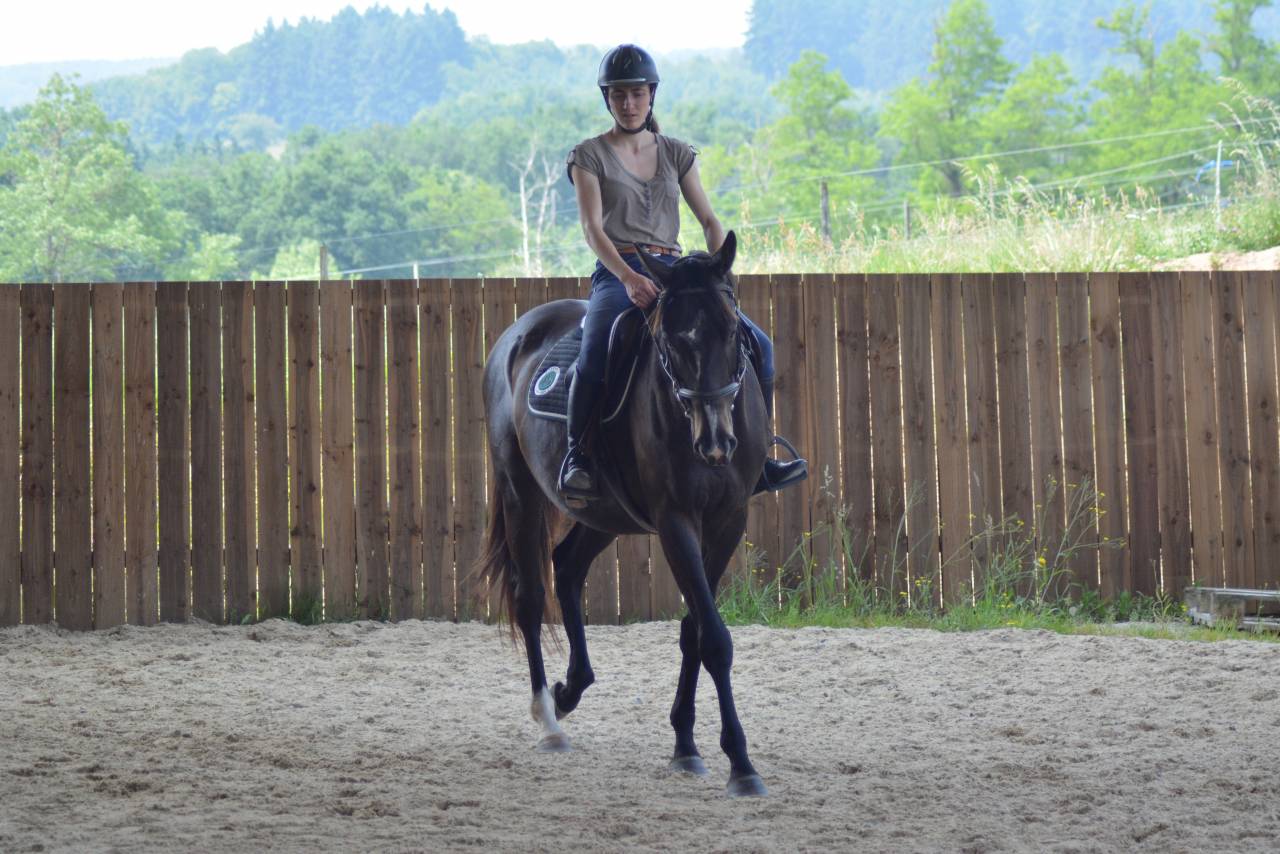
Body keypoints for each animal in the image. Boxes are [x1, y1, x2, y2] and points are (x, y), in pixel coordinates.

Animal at [476, 230, 770, 797]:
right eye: (672, 341)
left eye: (731, 330)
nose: (715, 442)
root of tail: (516, 334)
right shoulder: (676, 521)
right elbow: (714, 639)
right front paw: (741, 763)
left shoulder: (729, 520)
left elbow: (694, 631)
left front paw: (685, 745)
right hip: (521, 493)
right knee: (531, 597)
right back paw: (549, 719)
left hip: (605, 515)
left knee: (568, 566)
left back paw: (571, 689)